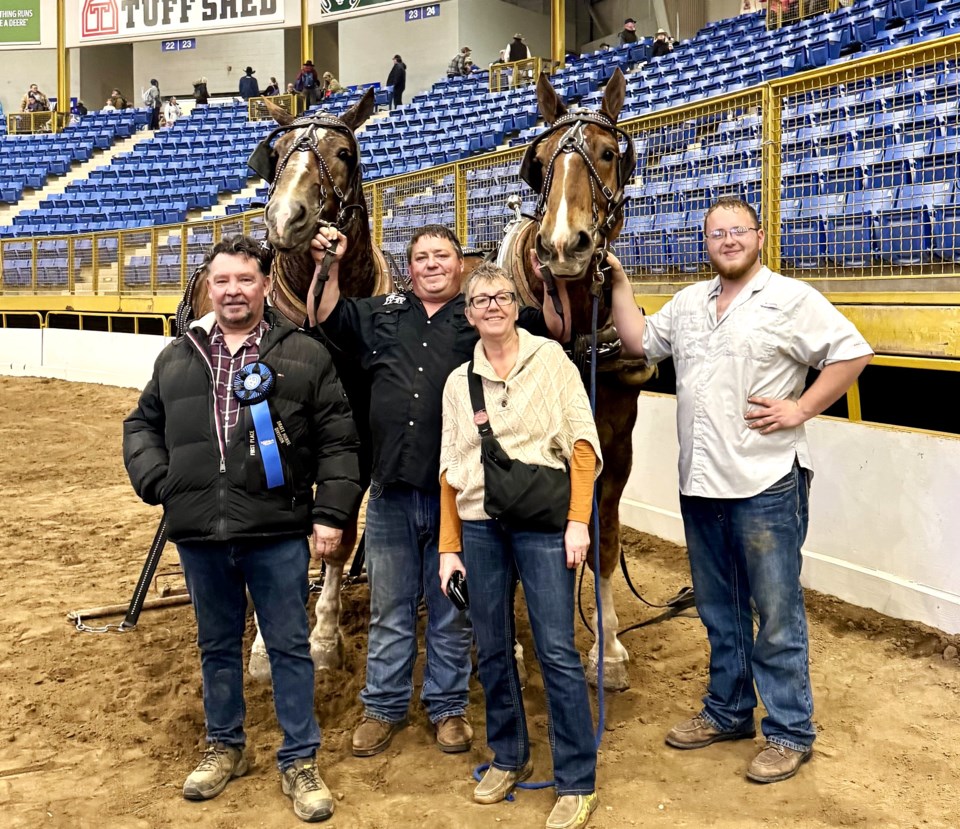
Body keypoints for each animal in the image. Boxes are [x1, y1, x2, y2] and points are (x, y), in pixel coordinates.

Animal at [178, 87, 392, 676]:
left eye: (344, 153)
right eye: (276, 155)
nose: (284, 216)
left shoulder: (359, 440)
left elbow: (336, 537)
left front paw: (323, 636)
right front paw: (262, 648)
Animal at [496, 69, 660, 692]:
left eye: (609, 153)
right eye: (540, 162)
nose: (563, 245)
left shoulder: (615, 447)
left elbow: (602, 541)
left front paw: (606, 648)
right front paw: (519, 648)